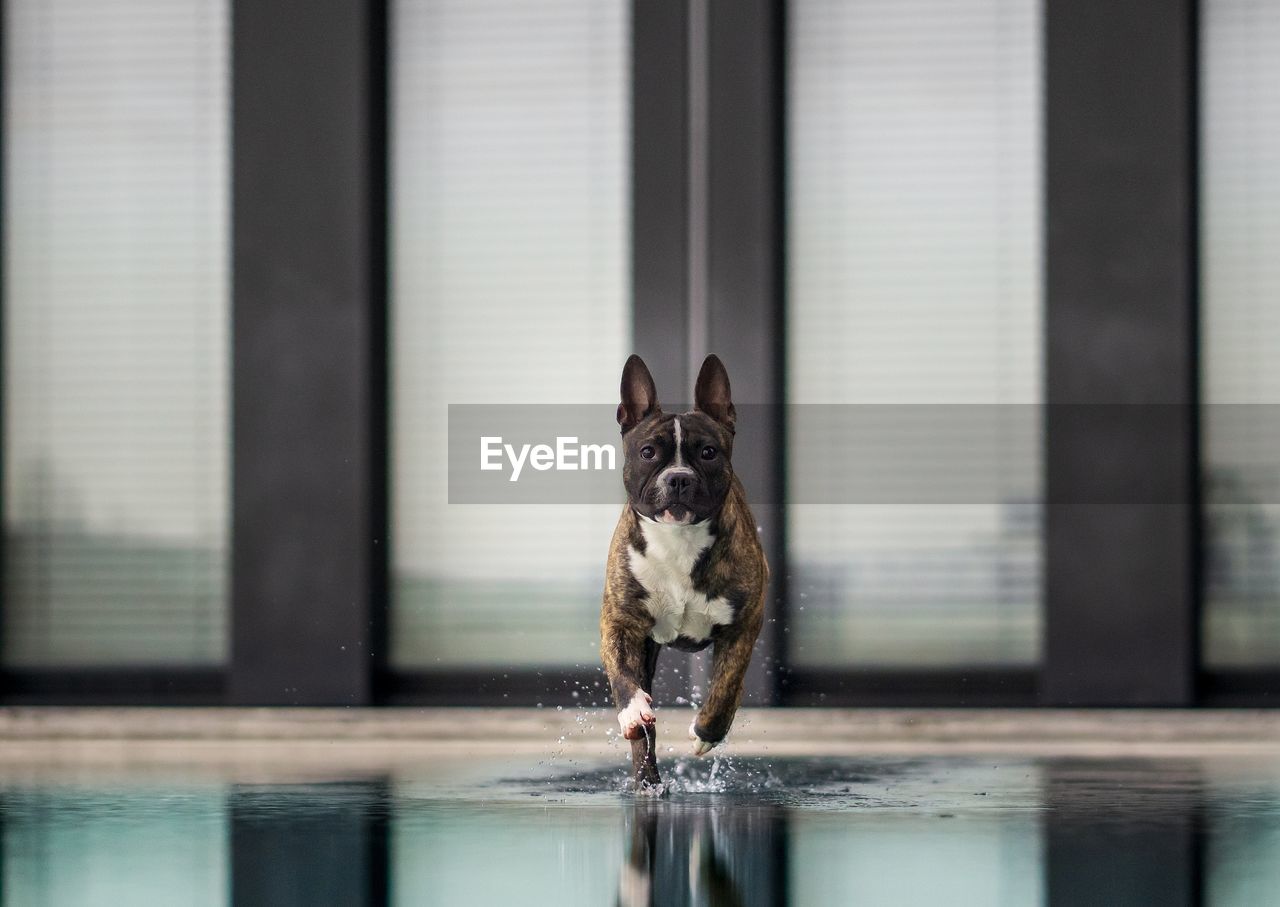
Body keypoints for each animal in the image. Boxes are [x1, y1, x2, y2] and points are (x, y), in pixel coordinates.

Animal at [596, 350, 762, 788]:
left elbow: (726, 687)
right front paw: (632, 710)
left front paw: (705, 732)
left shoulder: (743, 624)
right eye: (648, 453)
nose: (679, 479)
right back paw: (648, 781)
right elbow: (623, 675)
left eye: (708, 453)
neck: (678, 539)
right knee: (644, 735)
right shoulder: (620, 621)